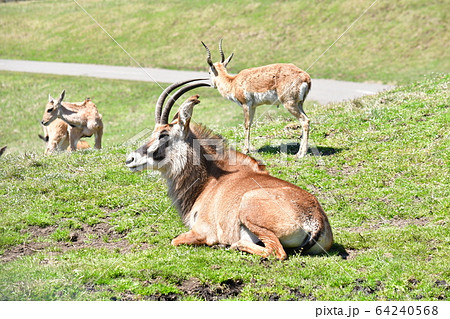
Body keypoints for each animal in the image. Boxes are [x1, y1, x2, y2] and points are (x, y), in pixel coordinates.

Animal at [125, 79, 332, 262]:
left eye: (164, 134)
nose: (130, 159)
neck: (209, 181)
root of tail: (315, 219)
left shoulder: (202, 231)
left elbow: (175, 240)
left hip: (249, 208)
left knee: (277, 251)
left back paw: (232, 245)